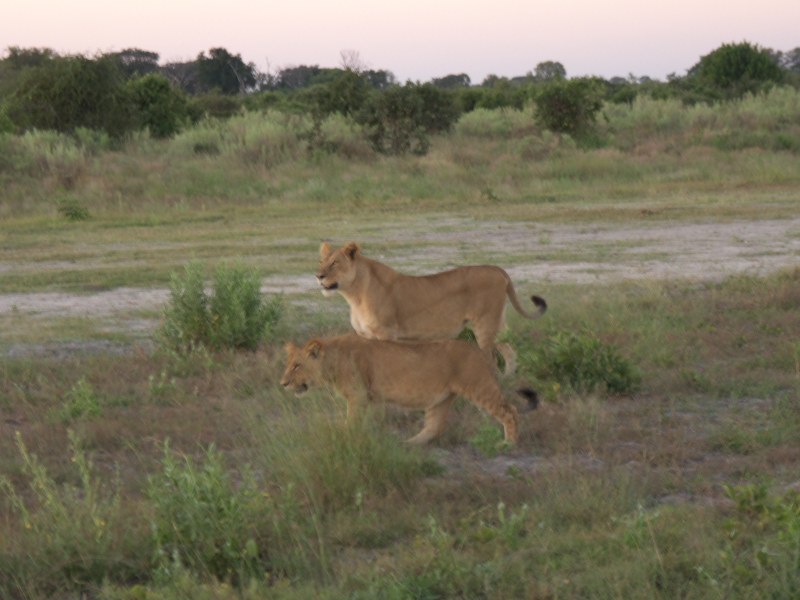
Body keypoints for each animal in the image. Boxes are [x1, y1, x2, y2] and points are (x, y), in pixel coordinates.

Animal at [280, 334, 538, 445]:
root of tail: (480, 350)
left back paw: (509, 443)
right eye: (288, 364)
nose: (283, 383)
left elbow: (351, 422)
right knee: (435, 427)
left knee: (510, 410)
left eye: (296, 366)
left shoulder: (358, 396)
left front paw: (344, 437)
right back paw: (410, 443)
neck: (333, 360)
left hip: (479, 387)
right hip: (442, 398)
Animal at [316, 241, 547, 373]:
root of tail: (497, 268)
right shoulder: (365, 336)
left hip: (485, 323)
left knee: (491, 359)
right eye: (321, 261)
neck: (354, 295)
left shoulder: (387, 333)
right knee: (510, 351)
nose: (318, 276)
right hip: (498, 323)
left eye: (335, 263)